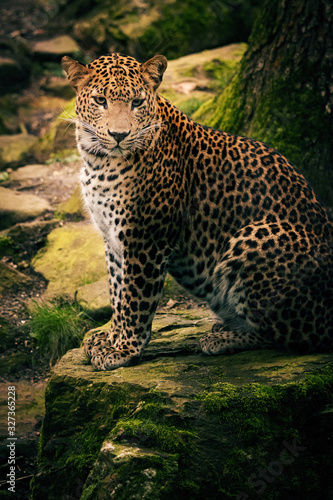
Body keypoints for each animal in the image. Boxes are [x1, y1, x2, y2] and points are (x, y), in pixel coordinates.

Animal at [61, 52, 332, 370]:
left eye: (137, 102)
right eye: (100, 100)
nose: (119, 135)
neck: (99, 162)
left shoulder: (147, 240)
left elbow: (135, 298)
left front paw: (124, 350)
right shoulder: (112, 239)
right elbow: (117, 292)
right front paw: (110, 338)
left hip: (258, 235)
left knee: (290, 337)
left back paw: (222, 338)